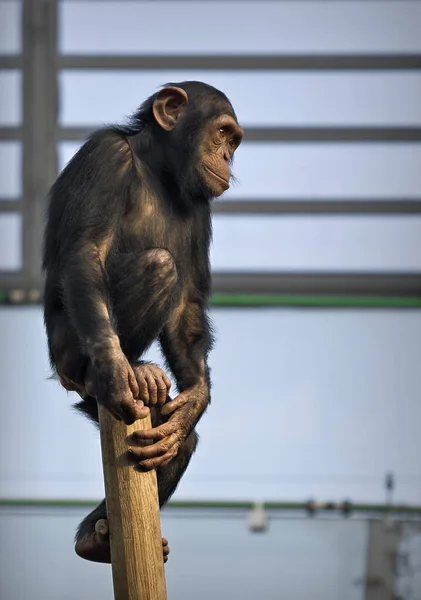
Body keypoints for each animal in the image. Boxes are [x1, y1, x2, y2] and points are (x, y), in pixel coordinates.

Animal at [42, 81, 243, 564]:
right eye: (222, 132)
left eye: (234, 140)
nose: (228, 157)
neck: (158, 170)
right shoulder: (105, 156)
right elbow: (87, 251)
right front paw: (114, 370)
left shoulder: (202, 207)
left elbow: (187, 303)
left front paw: (195, 399)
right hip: (68, 354)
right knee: (158, 264)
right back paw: (121, 370)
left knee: (173, 442)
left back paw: (97, 538)